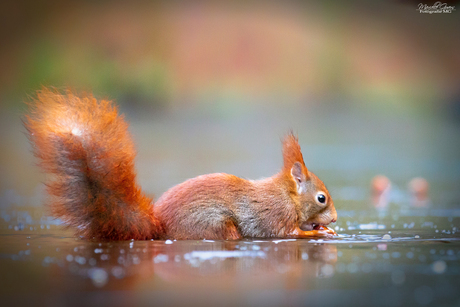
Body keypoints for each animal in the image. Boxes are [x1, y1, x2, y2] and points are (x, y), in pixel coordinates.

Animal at [24, 88, 338, 242]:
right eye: (321, 198)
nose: (335, 219)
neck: (287, 195)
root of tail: (159, 227)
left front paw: (325, 230)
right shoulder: (275, 216)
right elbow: (288, 233)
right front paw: (318, 232)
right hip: (216, 226)